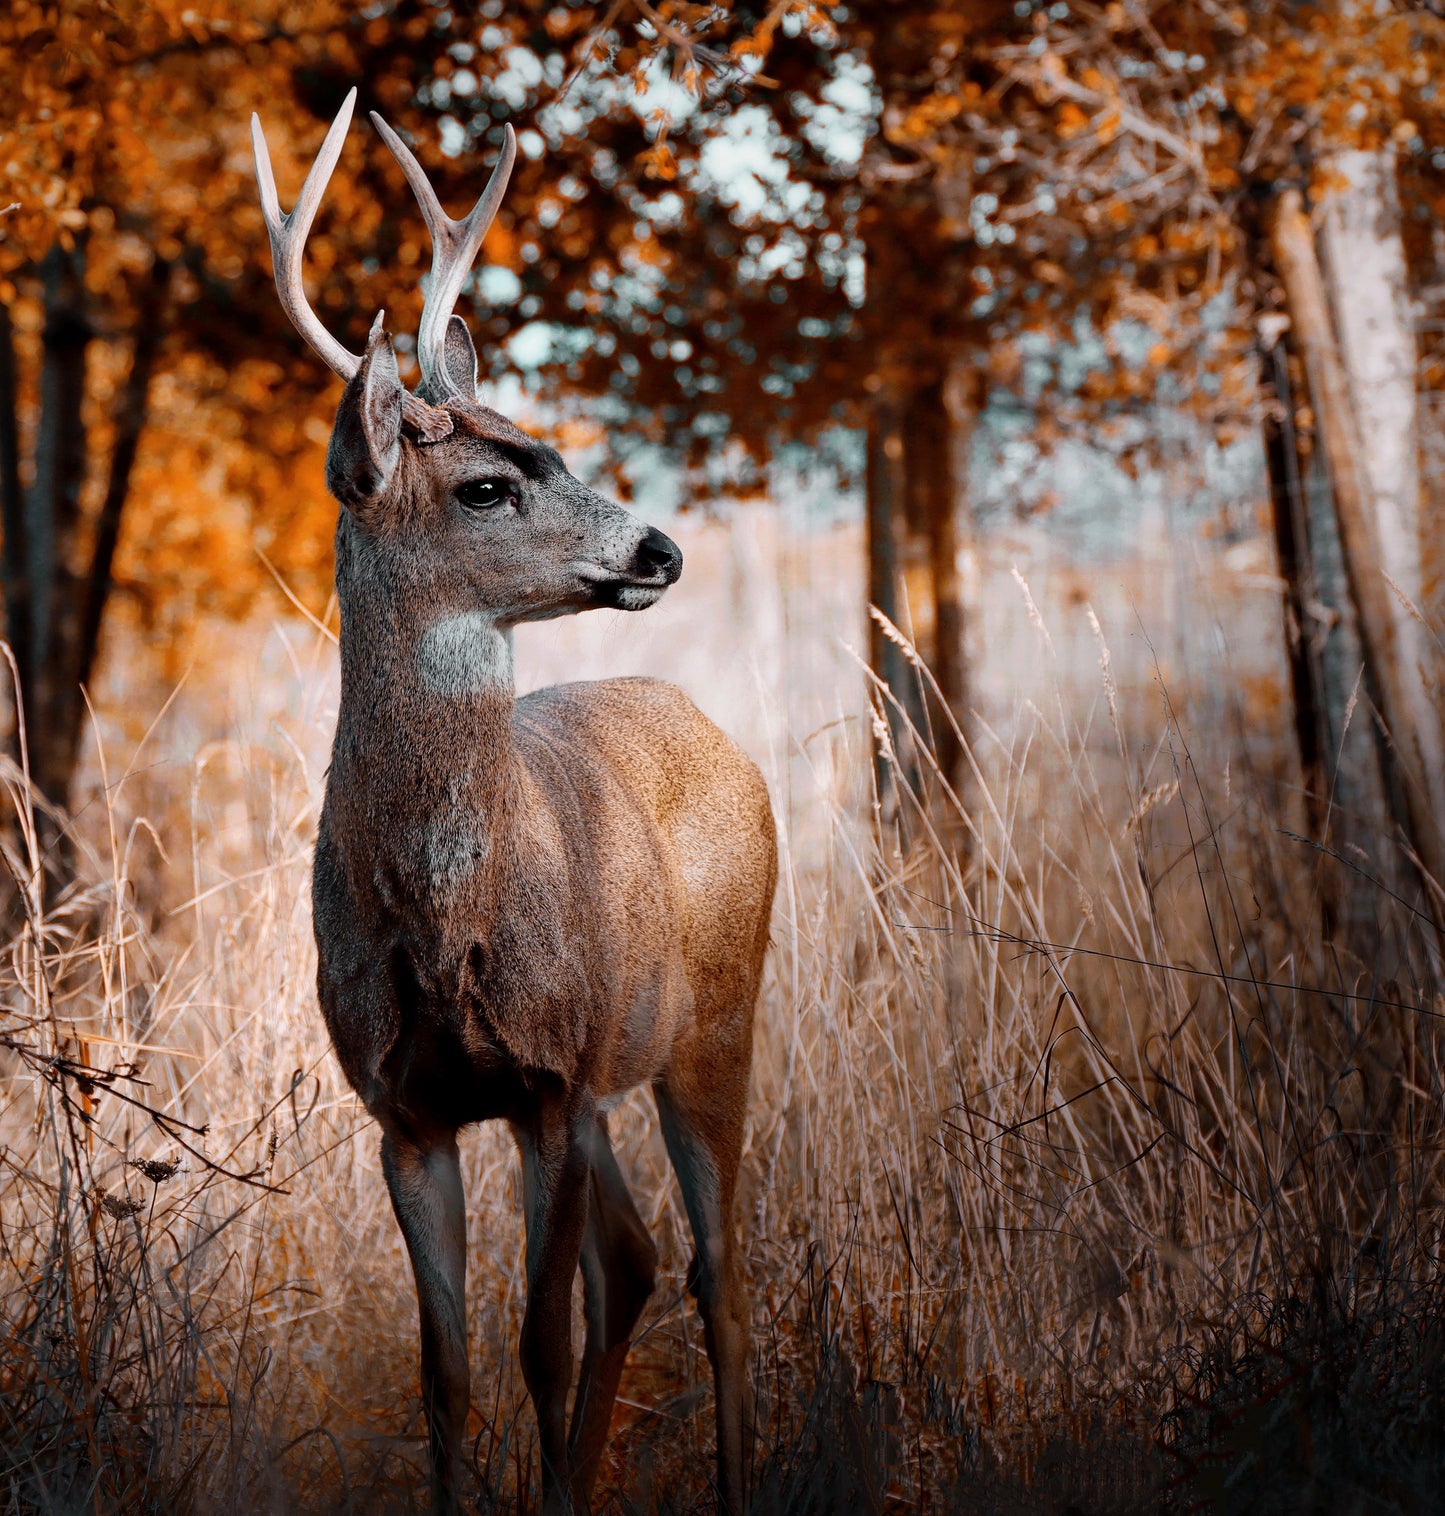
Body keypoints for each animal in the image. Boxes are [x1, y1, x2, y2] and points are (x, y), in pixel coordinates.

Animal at [250, 91, 776, 1516]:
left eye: (558, 449)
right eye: (490, 484)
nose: (660, 548)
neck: (443, 920)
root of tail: (711, 726)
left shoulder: (546, 1078)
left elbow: (537, 1345)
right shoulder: (404, 1107)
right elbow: (446, 1374)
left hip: (714, 1018)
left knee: (716, 1271)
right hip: (608, 1085)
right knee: (638, 1262)